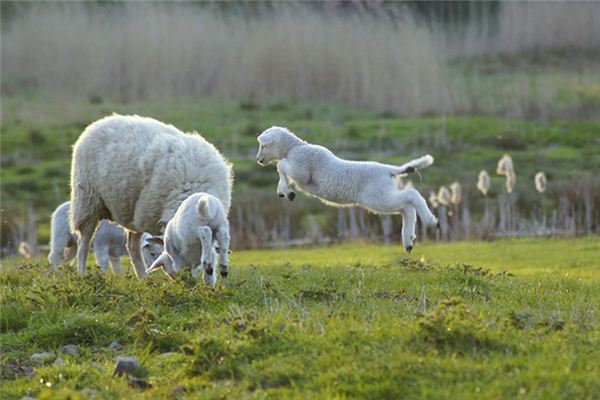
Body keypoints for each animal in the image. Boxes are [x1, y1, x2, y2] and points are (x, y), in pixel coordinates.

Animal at [68, 115, 232, 278]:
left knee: (132, 246)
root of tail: (100, 122)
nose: (179, 277)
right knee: (84, 242)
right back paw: (81, 273)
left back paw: (142, 278)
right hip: (87, 201)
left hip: (132, 212)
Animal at [255, 126, 438, 252]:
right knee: (406, 209)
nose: (258, 160)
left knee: (411, 196)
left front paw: (287, 190)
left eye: (263, 146)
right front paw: (284, 191)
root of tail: (389, 170)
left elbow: (281, 165)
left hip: (379, 197)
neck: (294, 148)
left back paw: (430, 221)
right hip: (382, 197)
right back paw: (408, 241)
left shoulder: (301, 170)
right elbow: (282, 171)